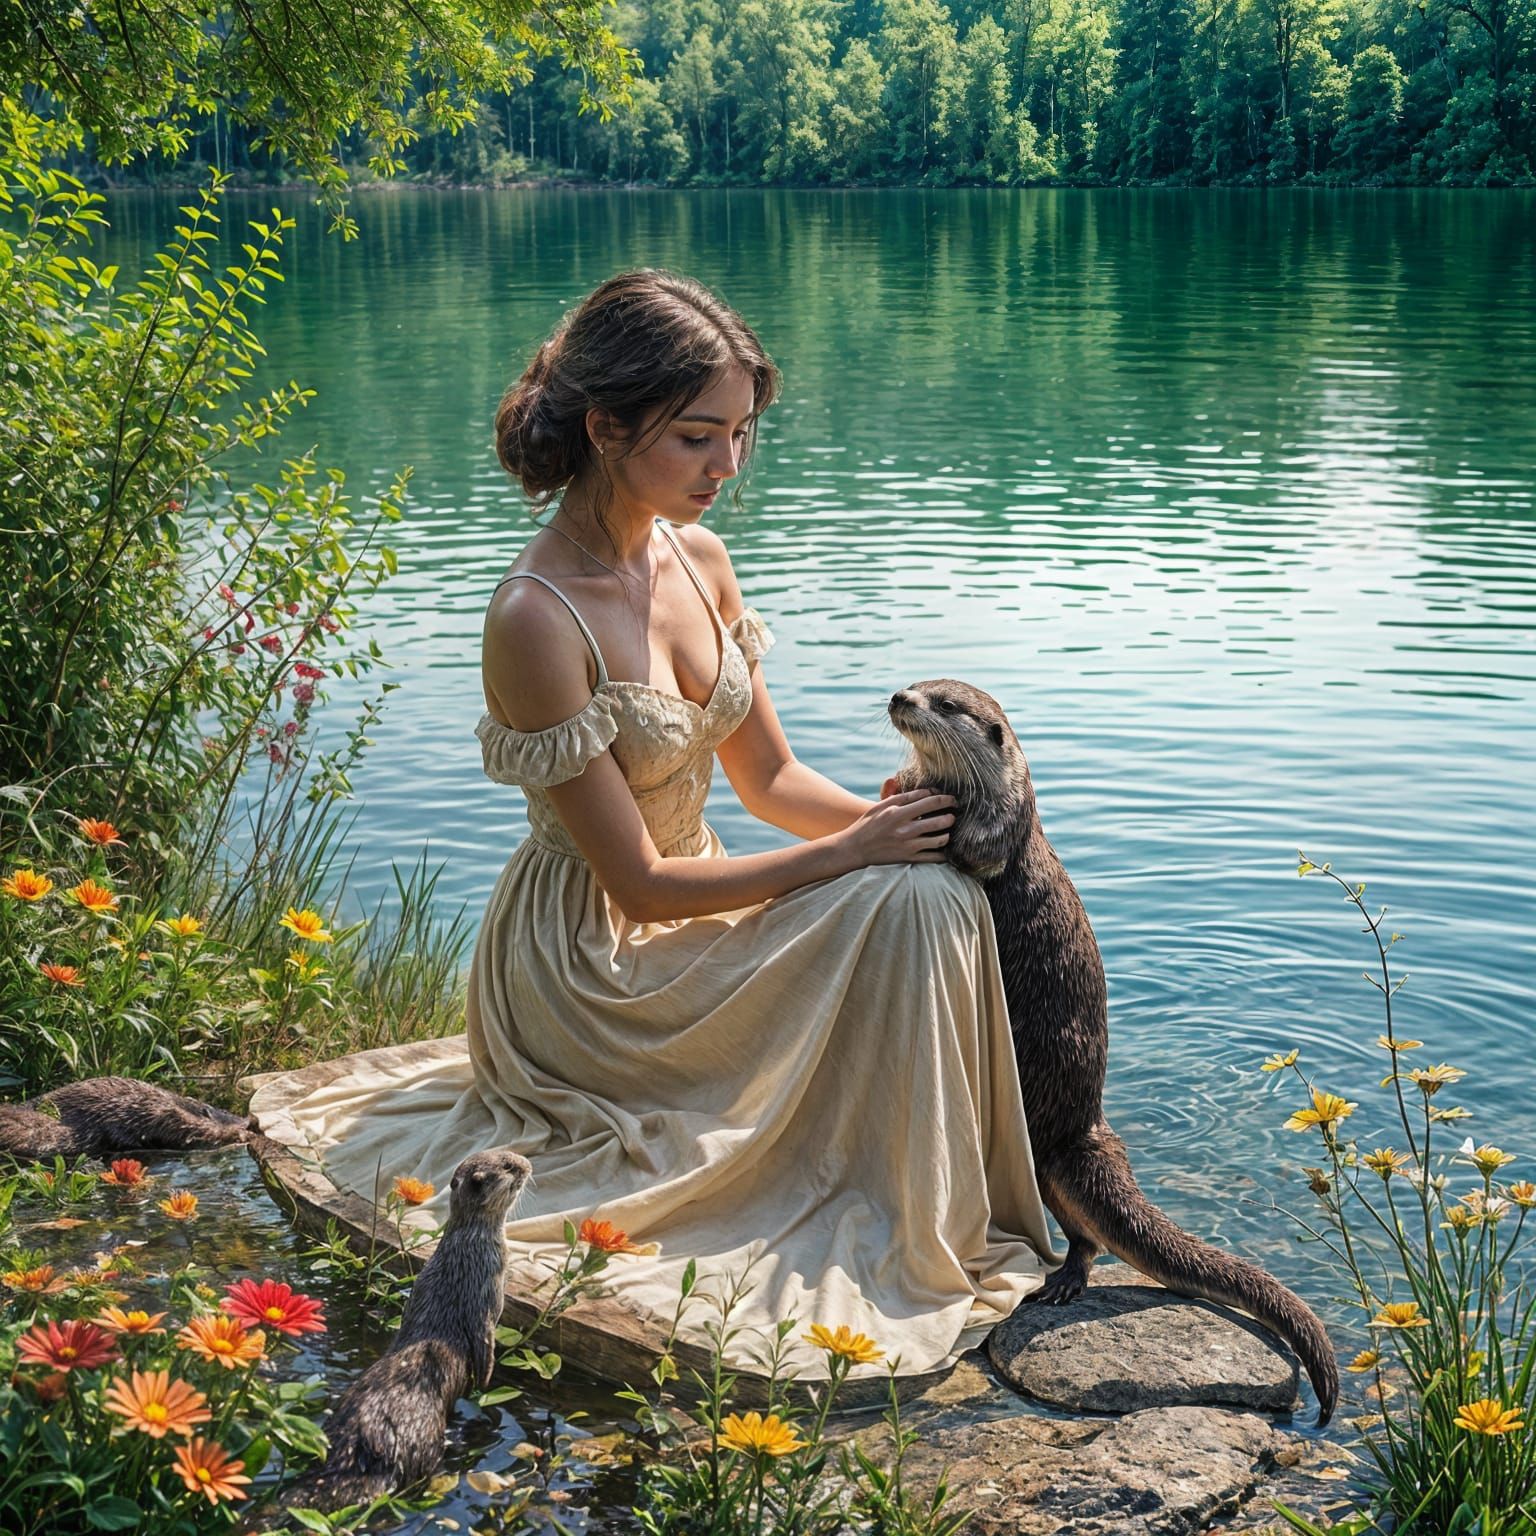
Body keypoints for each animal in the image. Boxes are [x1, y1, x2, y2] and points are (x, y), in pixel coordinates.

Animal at [280, 1149, 532, 1513]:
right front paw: (484, 1384)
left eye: (512, 1154)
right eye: (509, 1166)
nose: (528, 1164)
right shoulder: (487, 1287)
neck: (469, 1243)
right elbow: (485, 1343)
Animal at [887, 679, 1339, 1424]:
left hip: (1063, 1158)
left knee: (1090, 1238)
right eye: (917, 682)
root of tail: (1098, 1132)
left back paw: (1065, 1280)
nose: (901, 696)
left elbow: (974, 853)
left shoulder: (1002, 829)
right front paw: (898, 786)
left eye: (945, 703)